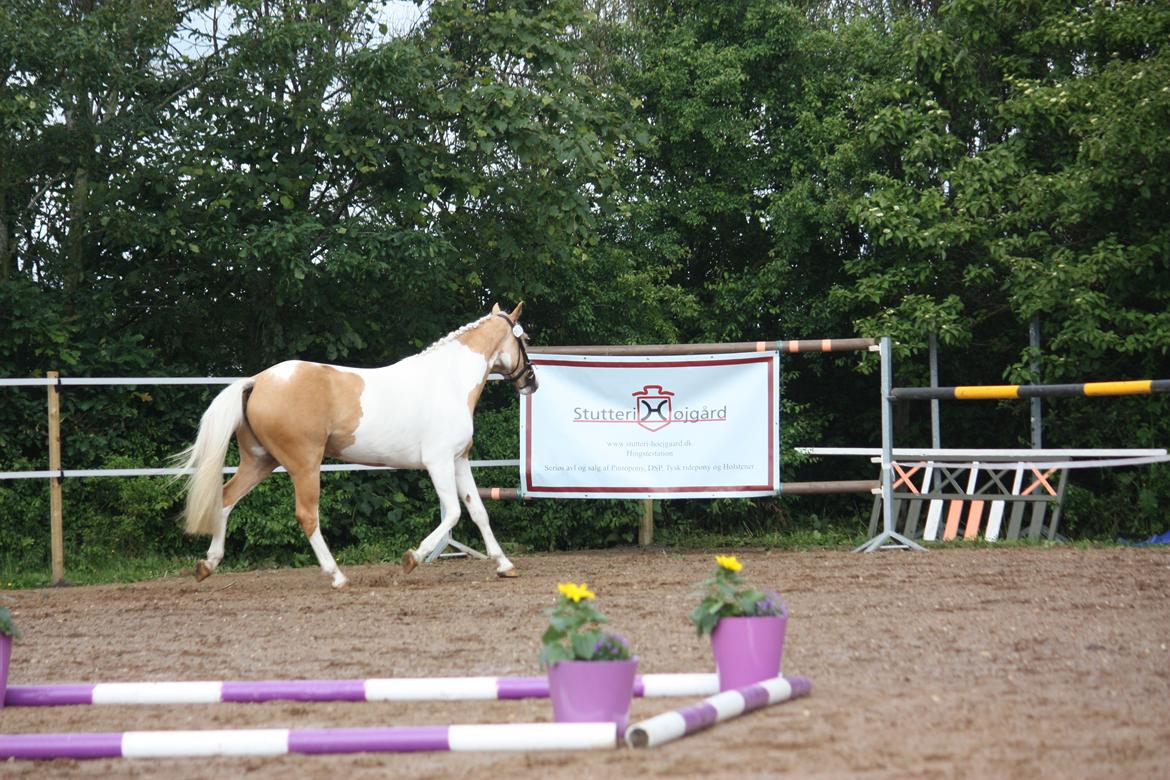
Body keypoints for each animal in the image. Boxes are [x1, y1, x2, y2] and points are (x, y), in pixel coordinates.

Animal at [177, 301, 538, 589]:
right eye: (525, 340)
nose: (531, 382)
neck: (449, 381)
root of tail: (257, 381)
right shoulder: (438, 462)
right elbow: (452, 513)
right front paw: (412, 558)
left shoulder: (459, 460)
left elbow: (478, 512)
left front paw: (505, 565)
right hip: (304, 465)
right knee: (307, 515)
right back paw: (337, 576)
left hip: (259, 461)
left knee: (226, 499)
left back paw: (206, 565)